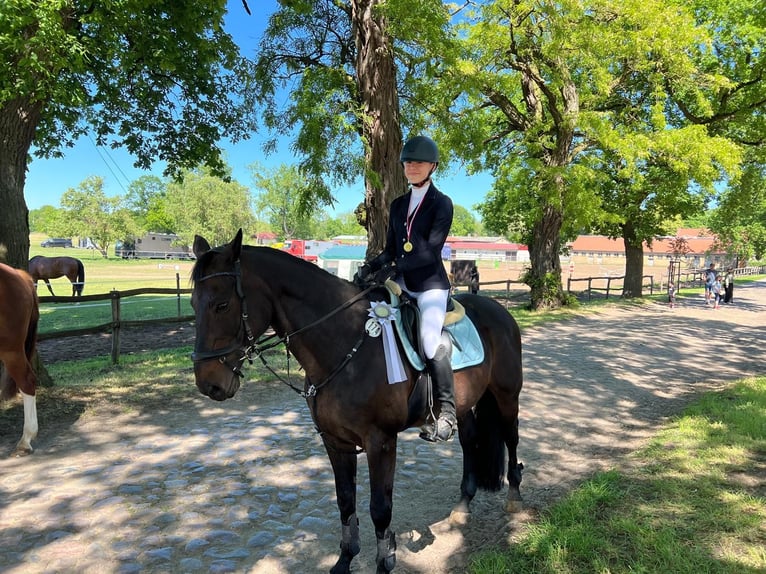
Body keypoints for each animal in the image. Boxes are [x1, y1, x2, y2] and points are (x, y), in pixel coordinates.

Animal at [190, 230, 523, 574]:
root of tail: (498, 310)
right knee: (470, 441)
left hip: (507, 395)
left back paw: (514, 496)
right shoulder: (335, 441)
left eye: (221, 304)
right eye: (192, 303)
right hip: (464, 403)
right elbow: (345, 500)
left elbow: (380, 507)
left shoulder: (381, 442)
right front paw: (344, 560)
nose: (209, 383)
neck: (345, 345)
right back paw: (462, 504)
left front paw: (385, 561)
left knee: (511, 437)